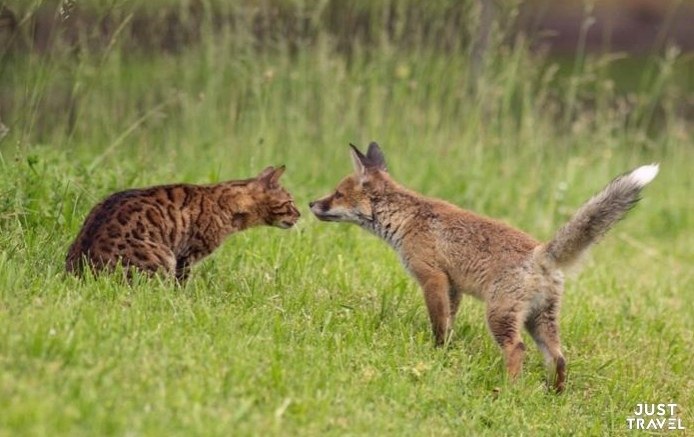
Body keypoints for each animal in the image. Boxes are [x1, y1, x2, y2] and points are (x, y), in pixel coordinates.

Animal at [66, 165, 302, 282]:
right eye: (290, 202)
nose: (300, 214)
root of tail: (80, 274)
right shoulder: (187, 255)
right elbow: (182, 283)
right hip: (163, 258)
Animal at [312, 143, 660, 392]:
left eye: (337, 194)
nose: (312, 204)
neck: (406, 219)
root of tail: (541, 253)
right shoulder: (452, 286)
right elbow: (449, 323)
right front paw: (445, 352)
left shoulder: (432, 277)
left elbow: (438, 324)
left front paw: (436, 353)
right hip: (540, 321)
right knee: (559, 358)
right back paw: (554, 394)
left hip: (499, 316)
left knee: (517, 349)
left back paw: (508, 391)